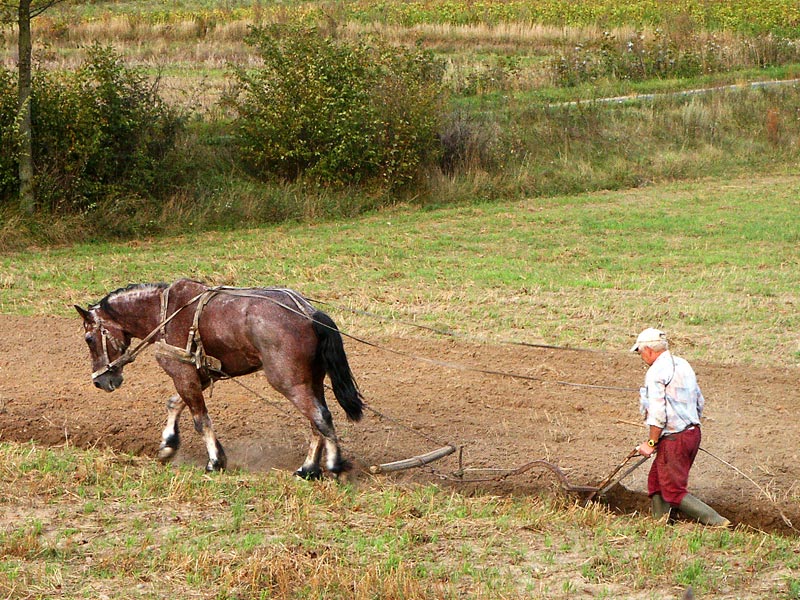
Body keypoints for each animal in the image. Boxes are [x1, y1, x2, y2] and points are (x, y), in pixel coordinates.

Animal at [75, 278, 362, 478]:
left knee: (320, 417)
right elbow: (174, 403)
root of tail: (310, 314)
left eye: (89, 338)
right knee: (316, 421)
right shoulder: (197, 375)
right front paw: (168, 445)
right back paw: (309, 469)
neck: (163, 313)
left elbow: (201, 420)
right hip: (313, 381)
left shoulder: (182, 374)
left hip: (290, 382)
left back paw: (332, 464)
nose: (100, 381)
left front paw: (214, 461)